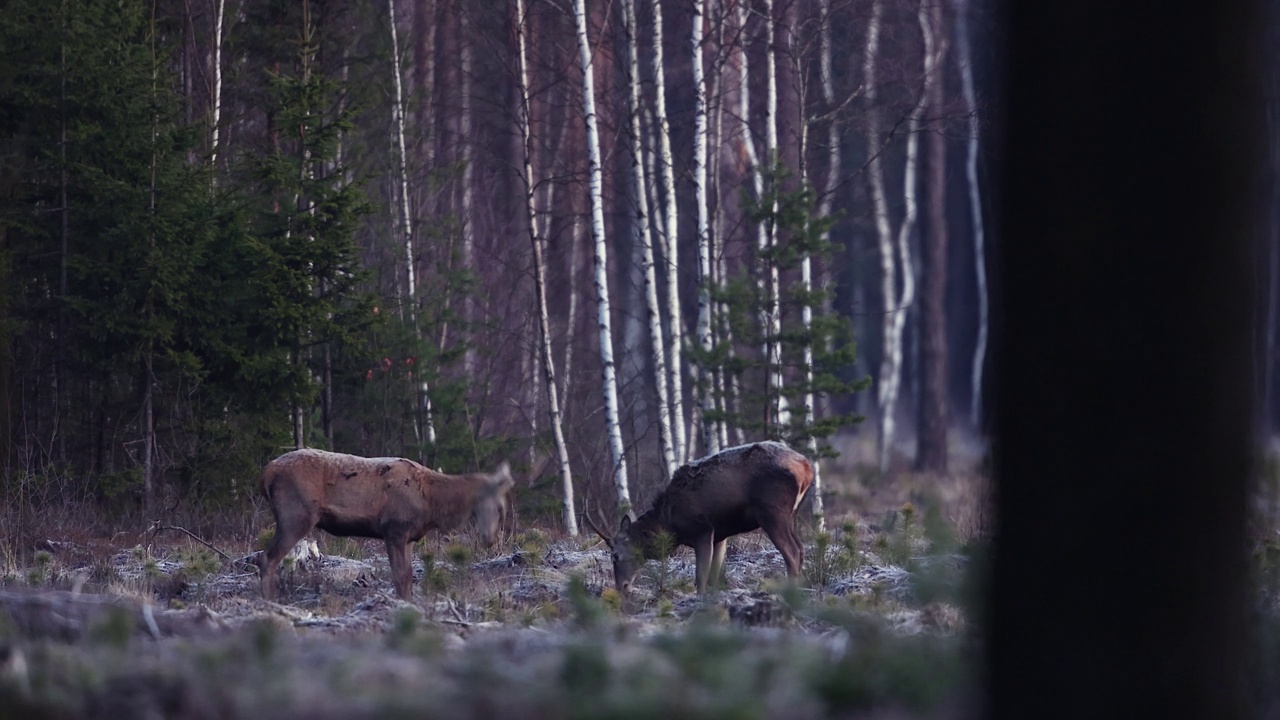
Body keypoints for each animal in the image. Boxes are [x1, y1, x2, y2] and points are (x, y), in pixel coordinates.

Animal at [257, 448, 512, 599]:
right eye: (499, 508)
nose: (490, 539)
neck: (430, 503)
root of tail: (266, 472)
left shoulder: (408, 536)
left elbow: (408, 576)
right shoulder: (394, 529)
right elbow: (399, 576)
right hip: (295, 515)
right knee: (268, 558)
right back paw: (269, 601)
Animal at [586, 440, 814, 591]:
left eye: (615, 555)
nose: (621, 587)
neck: (669, 523)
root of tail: (806, 468)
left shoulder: (702, 530)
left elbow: (700, 577)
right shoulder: (720, 536)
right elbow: (714, 577)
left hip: (772, 512)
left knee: (792, 553)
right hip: (791, 515)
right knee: (801, 549)